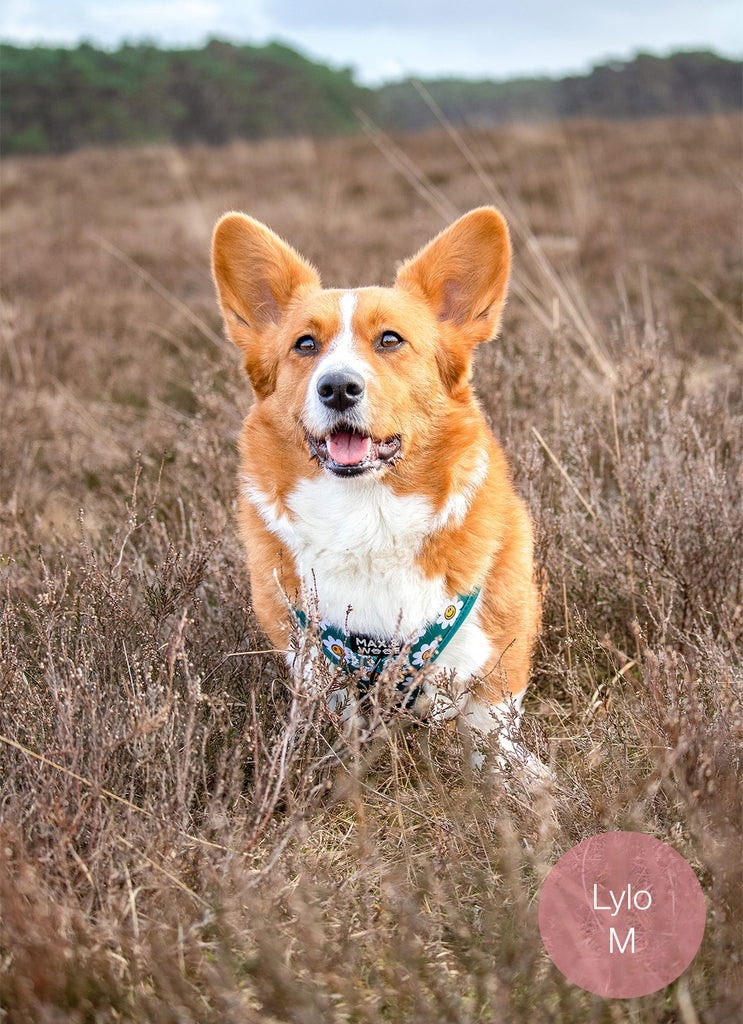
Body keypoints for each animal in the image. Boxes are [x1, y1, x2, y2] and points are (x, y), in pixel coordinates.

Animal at [212, 203, 544, 757]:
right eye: (305, 344)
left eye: (390, 339)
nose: (337, 388)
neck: (366, 515)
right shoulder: (310, 660)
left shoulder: (496, 649)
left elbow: (491, 731)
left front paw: (522, 774)